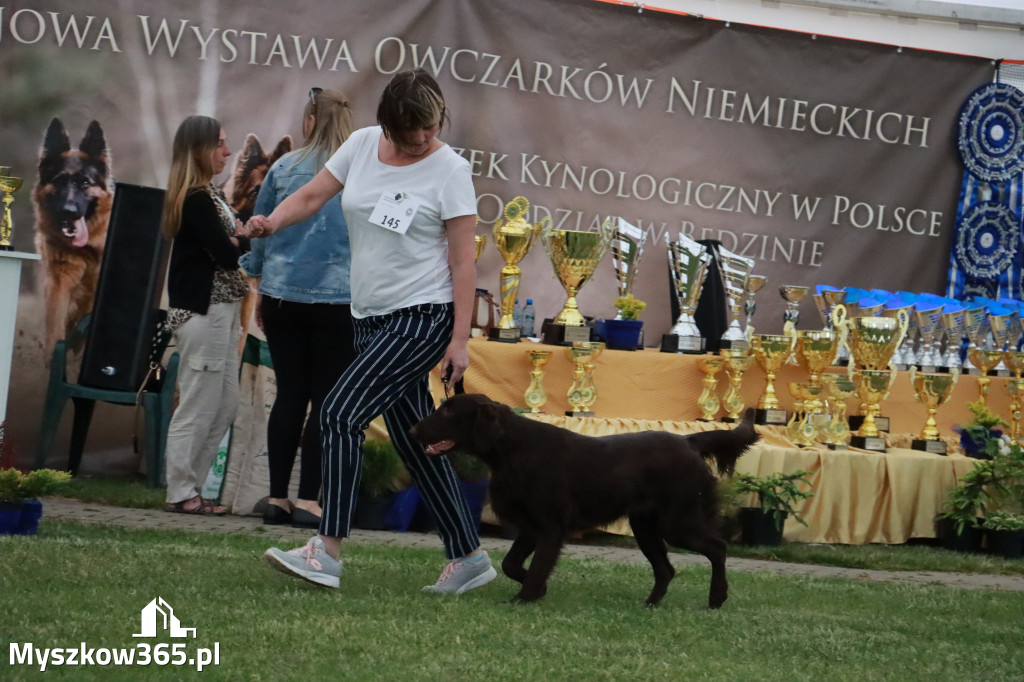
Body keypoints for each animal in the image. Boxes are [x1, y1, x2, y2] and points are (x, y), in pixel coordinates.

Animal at [32, 119, 113, 356]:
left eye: (85, 183)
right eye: (60, 181)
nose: (69, 211)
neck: (87, 248)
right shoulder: (59, 281)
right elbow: (56, 323)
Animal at [409, 391, 761, 606]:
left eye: (448, 412)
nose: (412, 431)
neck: (512, 450)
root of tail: (688, 441)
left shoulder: (551, 525)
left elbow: (538, 565)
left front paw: (525, 598)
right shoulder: (530, 525)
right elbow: (511, 563)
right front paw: (537, 591)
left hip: (678, 523)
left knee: (718, 547)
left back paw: (717, 597)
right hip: (645, 526)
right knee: (666, 569)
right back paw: (649, 604)